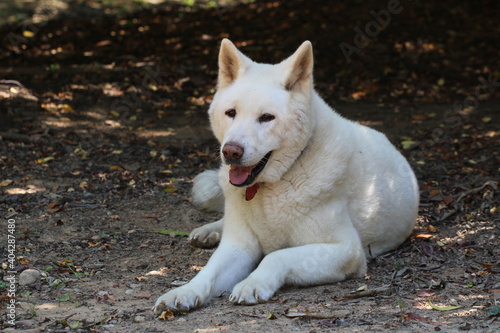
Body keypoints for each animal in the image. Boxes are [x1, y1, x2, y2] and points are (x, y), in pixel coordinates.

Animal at [152, 39, 418, 314]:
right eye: (231, 113)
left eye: (267, 117)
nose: (231, 151)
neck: (274, 183)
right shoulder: (239, 246)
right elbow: (208, 272)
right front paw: (184, 292)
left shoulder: (346, 250)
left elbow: (275, 255)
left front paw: (252, 283)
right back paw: (209, 232)